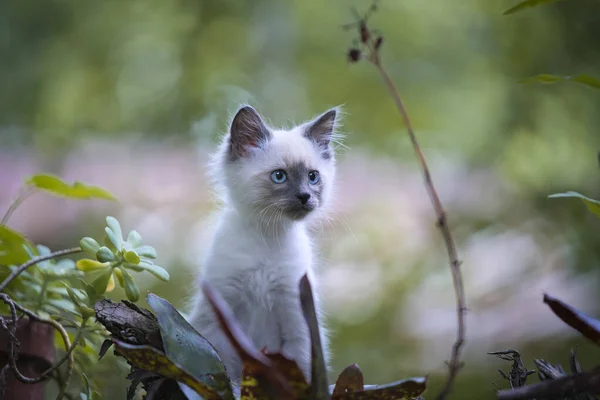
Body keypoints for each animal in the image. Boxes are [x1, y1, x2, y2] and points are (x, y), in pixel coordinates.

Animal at [185, 104, 340, 386]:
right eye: (279, 176)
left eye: (312, 177)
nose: (305, 196)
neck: (268, 237)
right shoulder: (219, 315)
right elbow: (227, 371)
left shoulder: (296, 318)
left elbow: (300, 370)